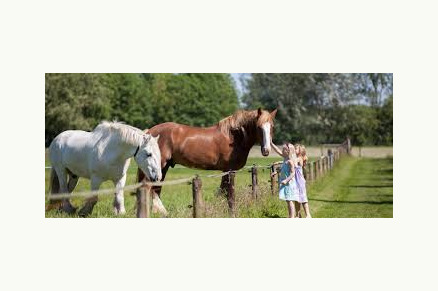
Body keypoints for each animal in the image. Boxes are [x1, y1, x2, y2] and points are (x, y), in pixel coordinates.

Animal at [137, 108, 278, 216]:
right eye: (259, 127)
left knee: (156, 188)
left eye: (272, 127)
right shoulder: (228, 170)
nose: (266, 150)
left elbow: (223, 191)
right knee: (149, 187)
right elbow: (225, 192)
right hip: (159, 164)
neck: (234, 138)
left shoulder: (226, 171)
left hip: (163, 166)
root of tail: (149, 132)